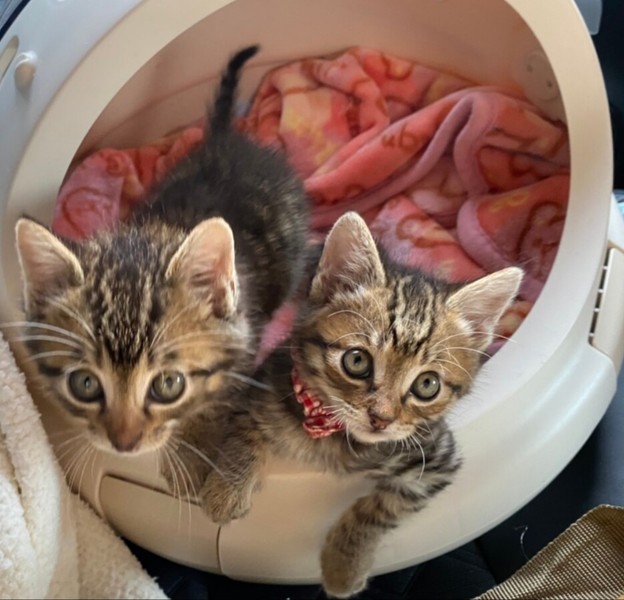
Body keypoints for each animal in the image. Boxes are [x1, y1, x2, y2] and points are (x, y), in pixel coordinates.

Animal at [12, 45, 310, 489]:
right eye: (85, 384)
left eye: (169, 385)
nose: (124, 443)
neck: (153, 234)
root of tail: (223, 141)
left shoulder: (245, 341)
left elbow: (217, 400)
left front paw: (195, 448)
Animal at [200, 211, 523, 598]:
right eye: (357, 361)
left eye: (427, 385)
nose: (380, 418)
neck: (330, 432)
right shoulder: (261, 384)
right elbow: (244, 427)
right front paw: (225, 491)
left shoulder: (437, 459)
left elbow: (381, 508)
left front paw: (343, 567)